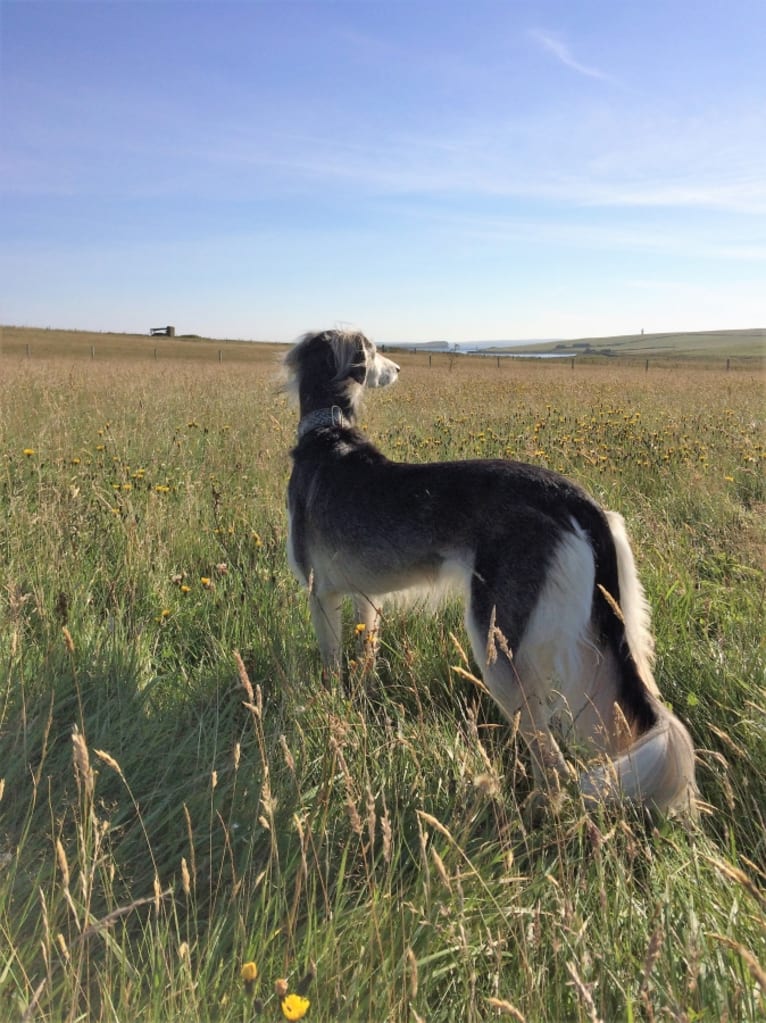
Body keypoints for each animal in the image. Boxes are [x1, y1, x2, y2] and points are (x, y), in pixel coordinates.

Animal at [284, 329, 695, 814]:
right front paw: (359, 699)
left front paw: (333, 706)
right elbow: (366, 652)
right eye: (375, 350)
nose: (399, 369)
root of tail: (575, 498)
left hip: (497, 645)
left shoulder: (319, 593)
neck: (328, 435)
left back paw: (536, 811)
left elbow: (331, 660)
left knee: (553, 763)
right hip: (604, 640)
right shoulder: (367, 597)